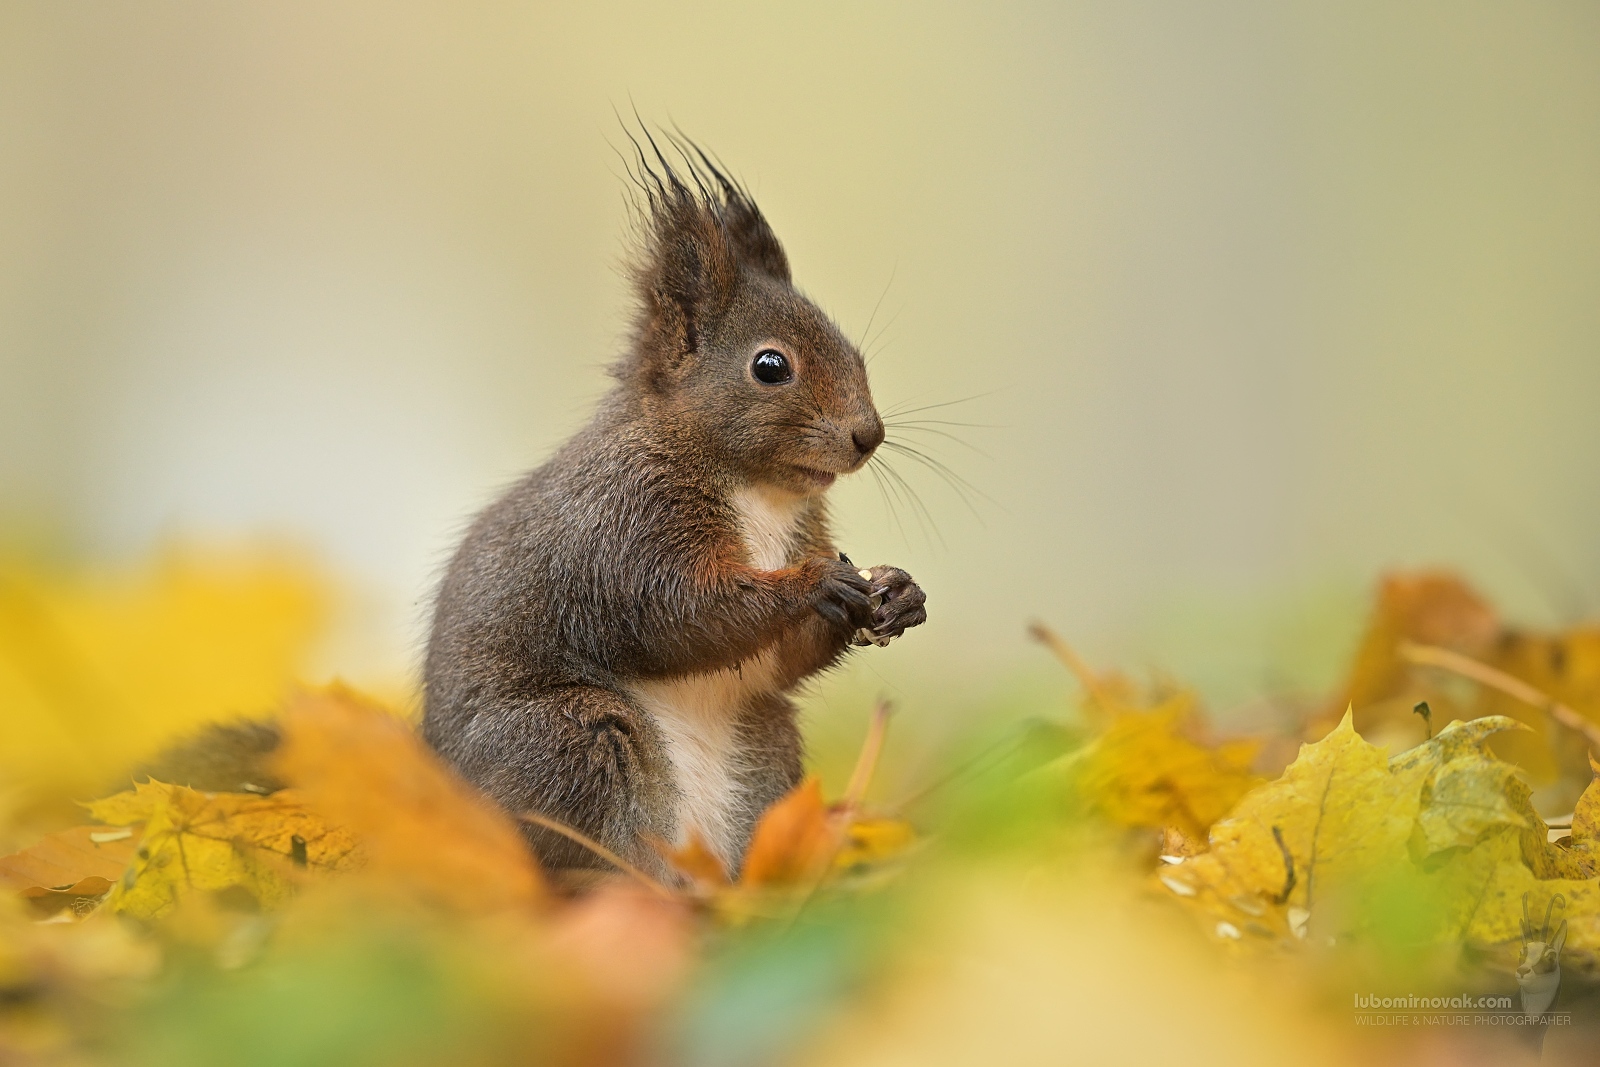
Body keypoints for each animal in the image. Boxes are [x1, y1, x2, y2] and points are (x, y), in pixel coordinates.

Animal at [139, 137, 927, 881]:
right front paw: (815, 584)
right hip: (570, 740)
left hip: (761, 750)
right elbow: (681, 613)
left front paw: (896, 592)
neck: (758, 490)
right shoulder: (621, 524)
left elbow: (771, 661)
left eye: (854, 352)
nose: (869, 434)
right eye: (770, 366)